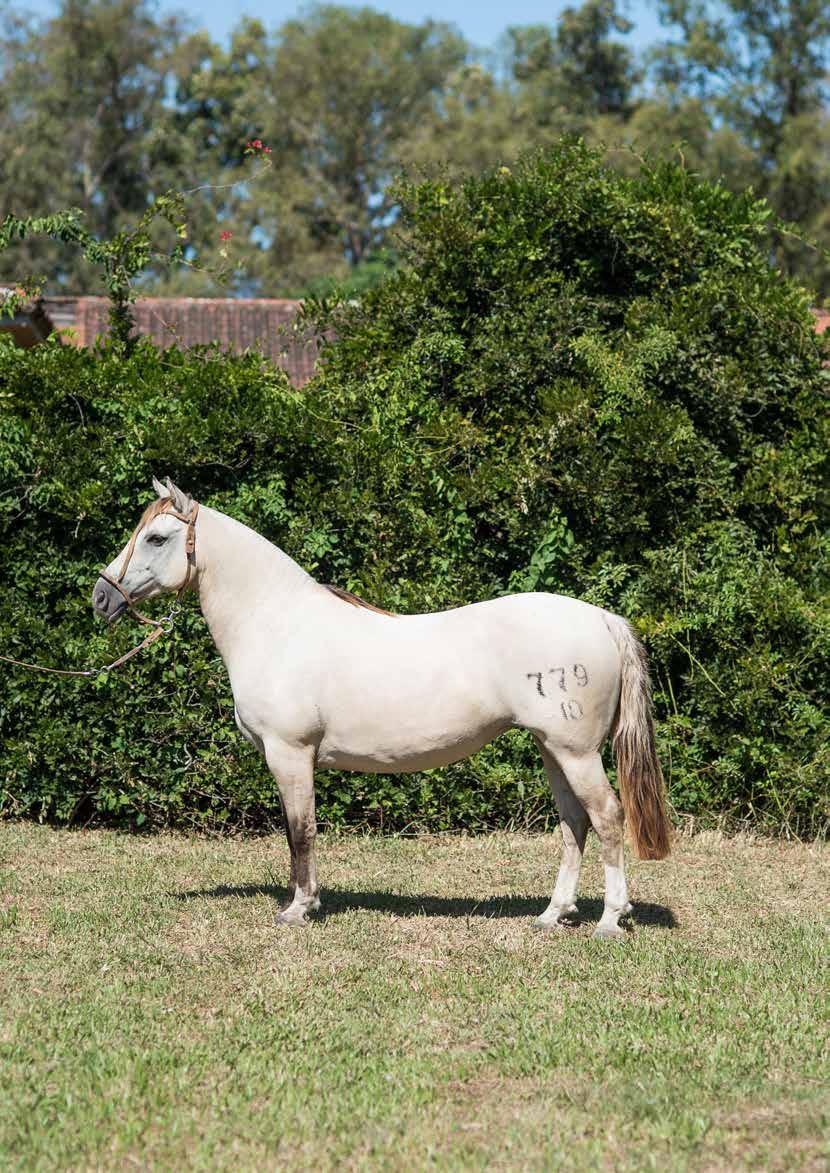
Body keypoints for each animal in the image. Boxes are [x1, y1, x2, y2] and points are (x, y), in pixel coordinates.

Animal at [93, 480, 670, 938]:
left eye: (157, 538)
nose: (101, 597)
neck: (276, 624)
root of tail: (601, 618)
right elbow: (295, 830)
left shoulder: (290, 753)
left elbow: (300, 829)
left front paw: (299, 908)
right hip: (553, 749)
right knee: (574, 823)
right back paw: (553, 914)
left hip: (576, 752)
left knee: (608, 817)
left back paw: (609, 920)